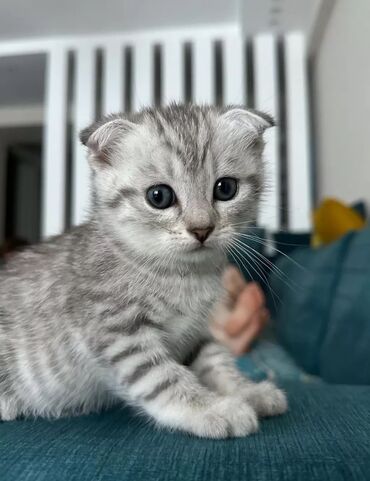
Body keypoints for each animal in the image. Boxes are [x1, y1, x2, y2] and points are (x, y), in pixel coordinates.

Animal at [0, 103, 286, 436]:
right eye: (159, 196)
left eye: (226, 188)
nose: (201, 229)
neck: (184, 277)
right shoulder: (119, 332)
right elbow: (164, 378)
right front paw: (213, 408)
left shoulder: (198, 333)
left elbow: (217, 364)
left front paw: (247, 391)